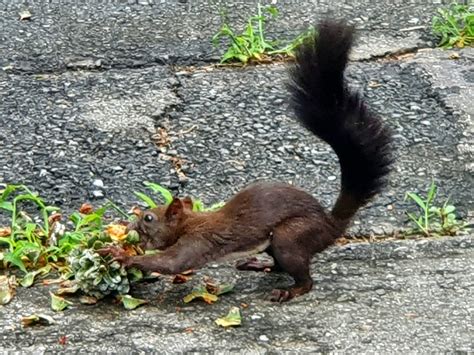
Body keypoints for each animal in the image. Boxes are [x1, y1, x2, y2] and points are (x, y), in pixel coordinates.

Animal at [100, 20, 392, 304]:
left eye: (148, 217)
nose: (128, 227)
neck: (189, 223)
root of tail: (330, 226)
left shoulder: (198, 241)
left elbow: (171, 263)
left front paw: (121, 255)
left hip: (290, 236)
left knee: (304, 278)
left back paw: (289, 291)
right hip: (276, 244)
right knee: (278, 265)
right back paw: (259, 265)